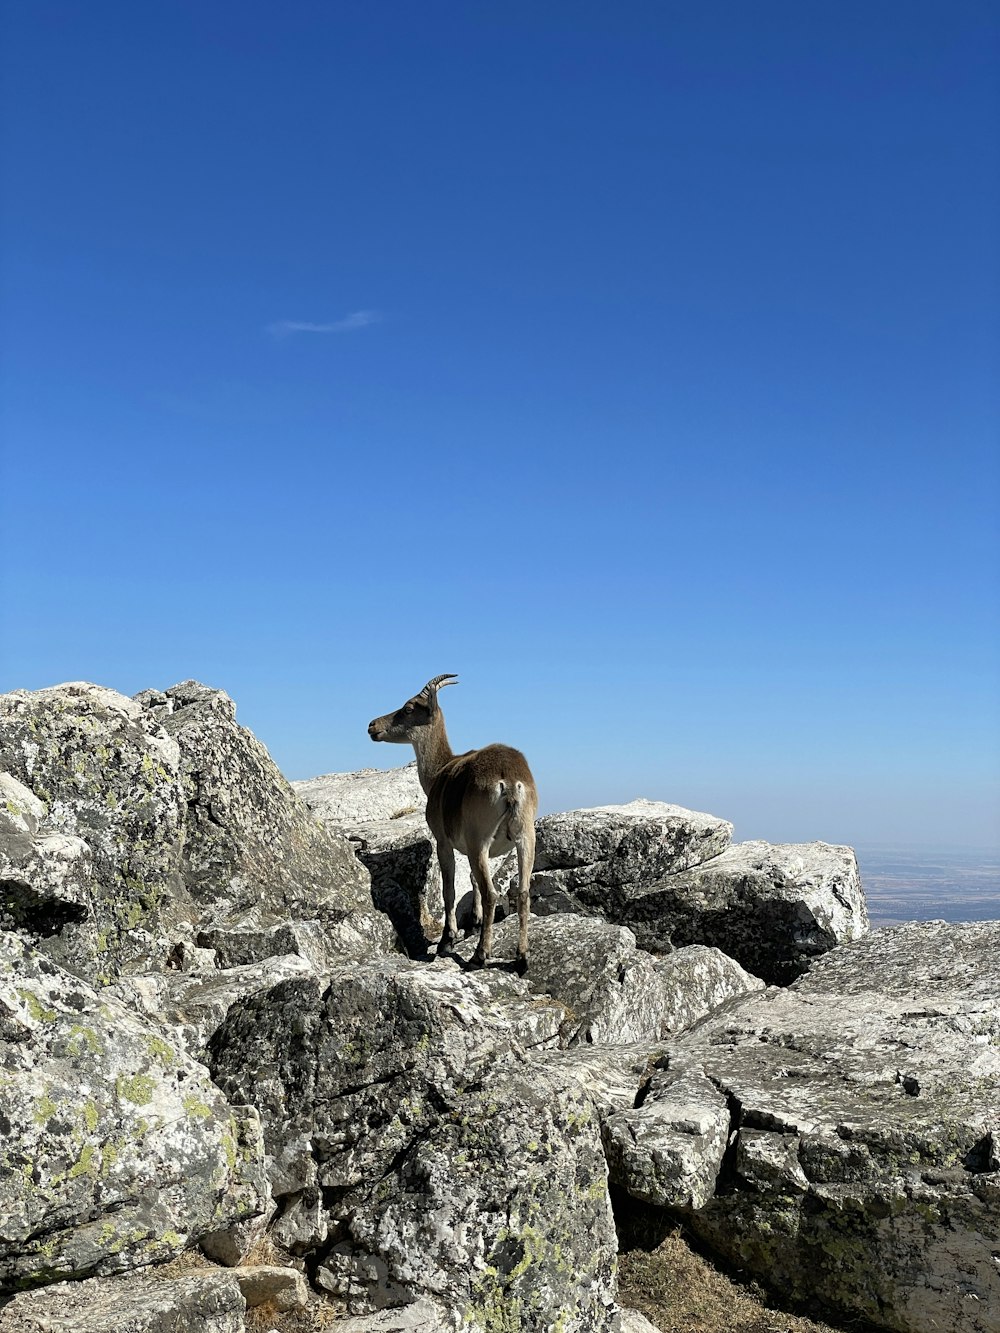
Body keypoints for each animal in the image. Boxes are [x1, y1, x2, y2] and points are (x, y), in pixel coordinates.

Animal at [370, 677, 541, 970]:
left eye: (408, 708)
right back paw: (522, 958)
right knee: (522, 892)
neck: (439, 772)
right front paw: (473, 924)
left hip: (478, 840)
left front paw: (446, 941)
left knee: (491, 893)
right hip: (525, 837)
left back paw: (479, 956)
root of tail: (509, 782)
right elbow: (471, 880)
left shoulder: (442, 840)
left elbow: (449, 890)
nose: (372, 726)